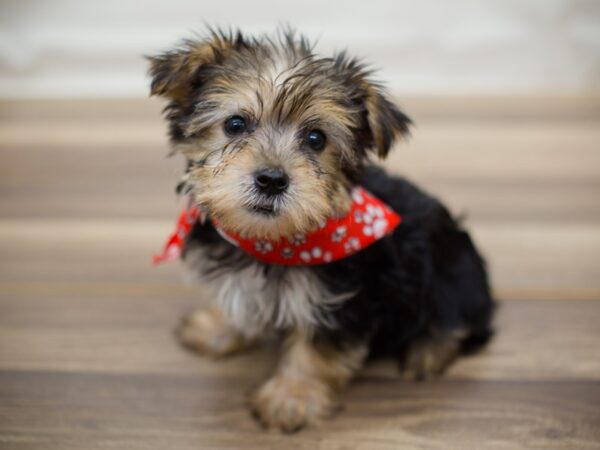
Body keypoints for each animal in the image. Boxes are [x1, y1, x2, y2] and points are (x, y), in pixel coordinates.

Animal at [149, 28, 492, 432]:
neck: (269, 242)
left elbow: (314, 351)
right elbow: (240, 303)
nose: (271, 179)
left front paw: (291, 399)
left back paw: (428, 351)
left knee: (457, 323)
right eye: (235, 124)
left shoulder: (340, 303)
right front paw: (217, 329)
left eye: (316, 139)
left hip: (453, 279)